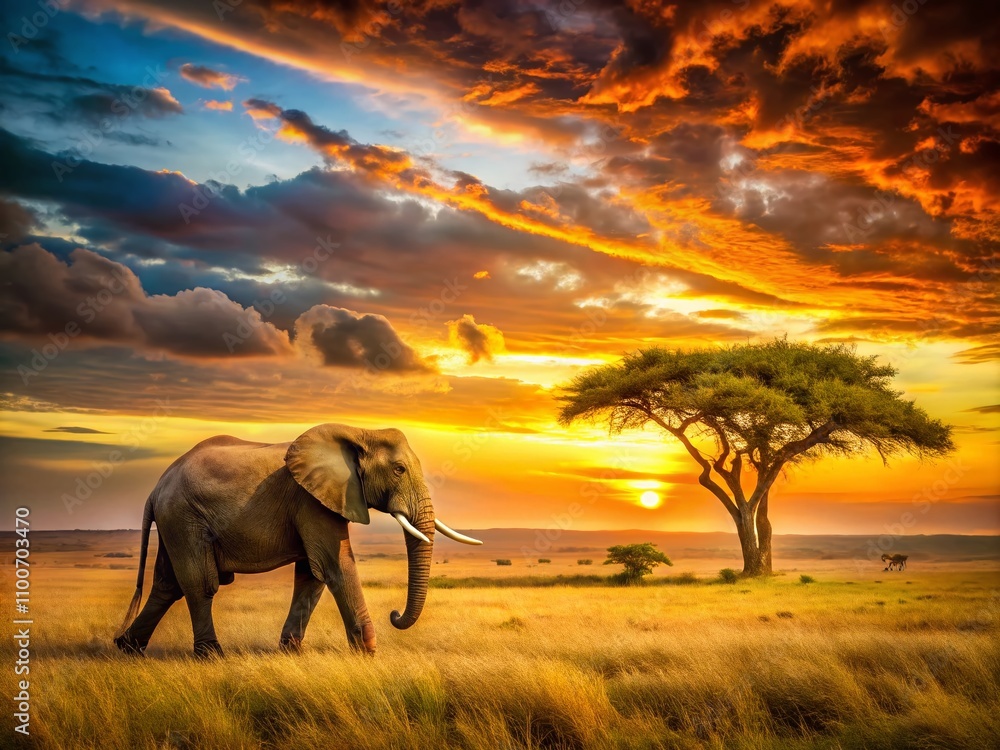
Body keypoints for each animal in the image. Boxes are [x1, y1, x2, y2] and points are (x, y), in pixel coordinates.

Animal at [113, 423, 482, 658]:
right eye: (399, 470)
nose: (394, 614)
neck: (359, 431)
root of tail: (156, 488)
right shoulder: (311, 499)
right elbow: (335, 566)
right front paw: (368, 653)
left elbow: (313, 574)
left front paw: (291, 652)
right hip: (184, 517)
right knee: (200, 584)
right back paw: (211, 656)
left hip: (175, 520)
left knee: (167, 585)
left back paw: (126, 648)